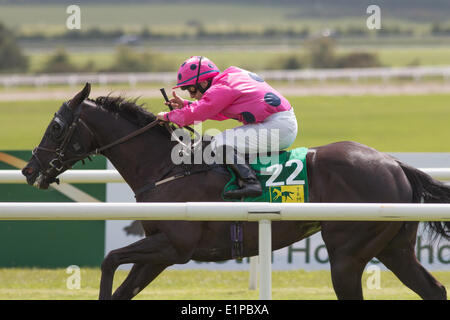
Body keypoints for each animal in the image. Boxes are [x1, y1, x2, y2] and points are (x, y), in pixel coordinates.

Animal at [22, 84, 450, 298]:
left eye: (56, 127)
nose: (29, 170)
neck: (167, 167)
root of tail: (394, 164)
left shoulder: (175, 246)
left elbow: (110, 260)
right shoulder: (160, 251)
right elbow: (122, 285)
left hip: (347, 253)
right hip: (393, 247)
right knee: (433, 289)